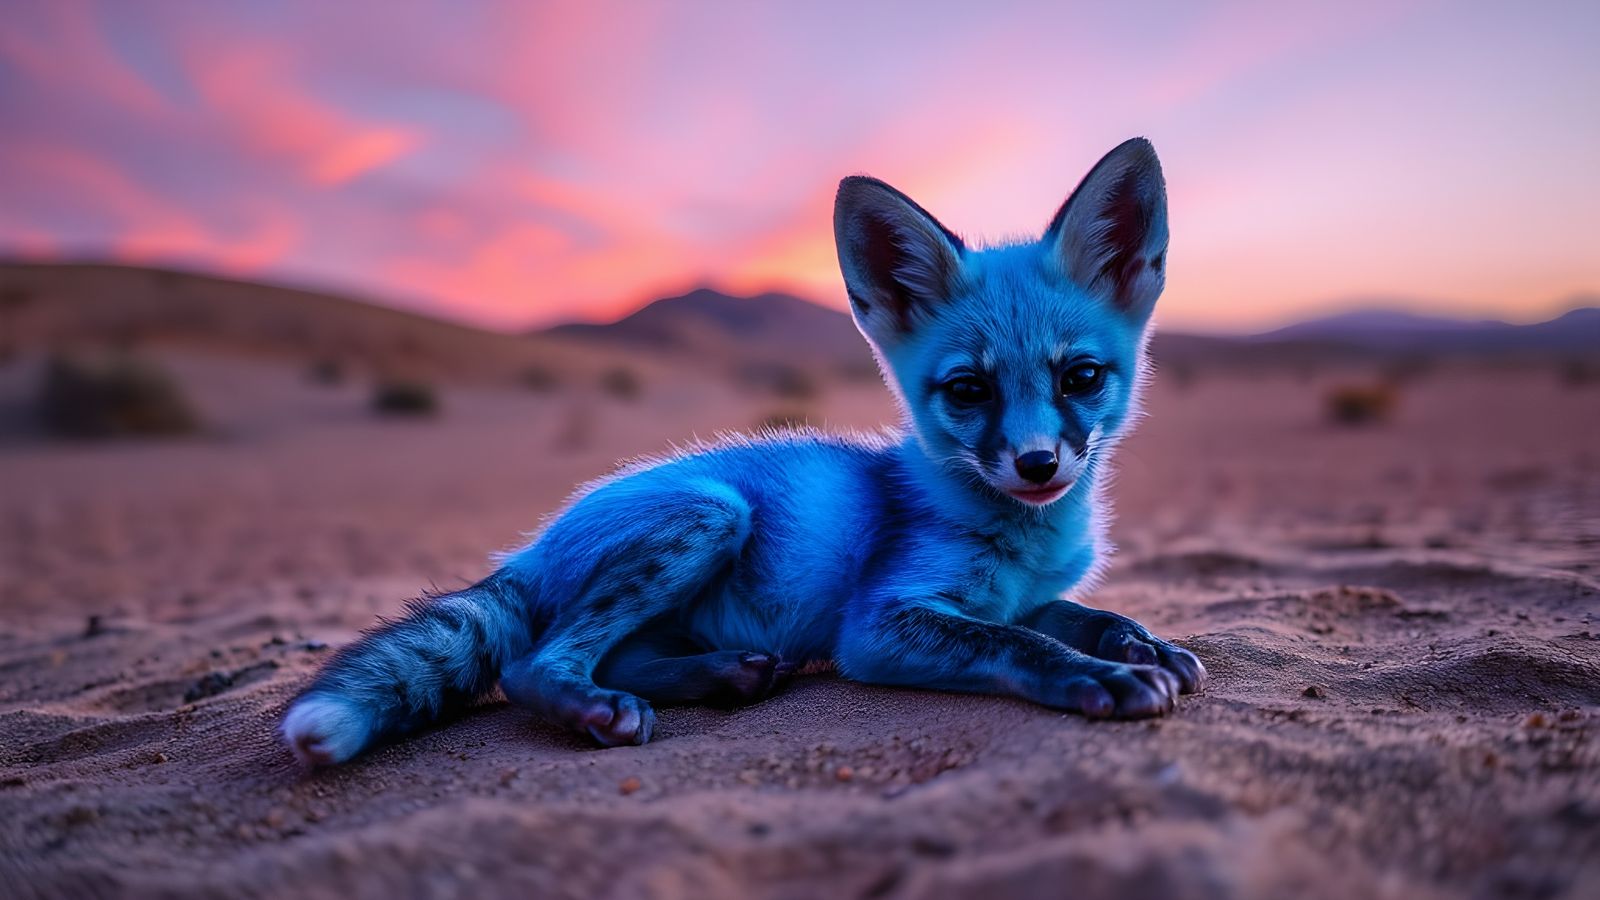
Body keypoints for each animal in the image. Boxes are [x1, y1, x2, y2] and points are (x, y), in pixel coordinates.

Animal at [282, 137, 1206, 765]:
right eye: (969, 390)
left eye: (1081, 377)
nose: (1038, 466)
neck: (1022, 541)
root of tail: (531, 546)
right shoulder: (880, 623)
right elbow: (1022, 647)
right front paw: (1099, 677)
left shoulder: (1025, 596)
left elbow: (1089, 618)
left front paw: (1142, 646)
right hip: (710, 514)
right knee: (530, 665)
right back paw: (601, 705)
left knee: (617, 655)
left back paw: (724, 674)